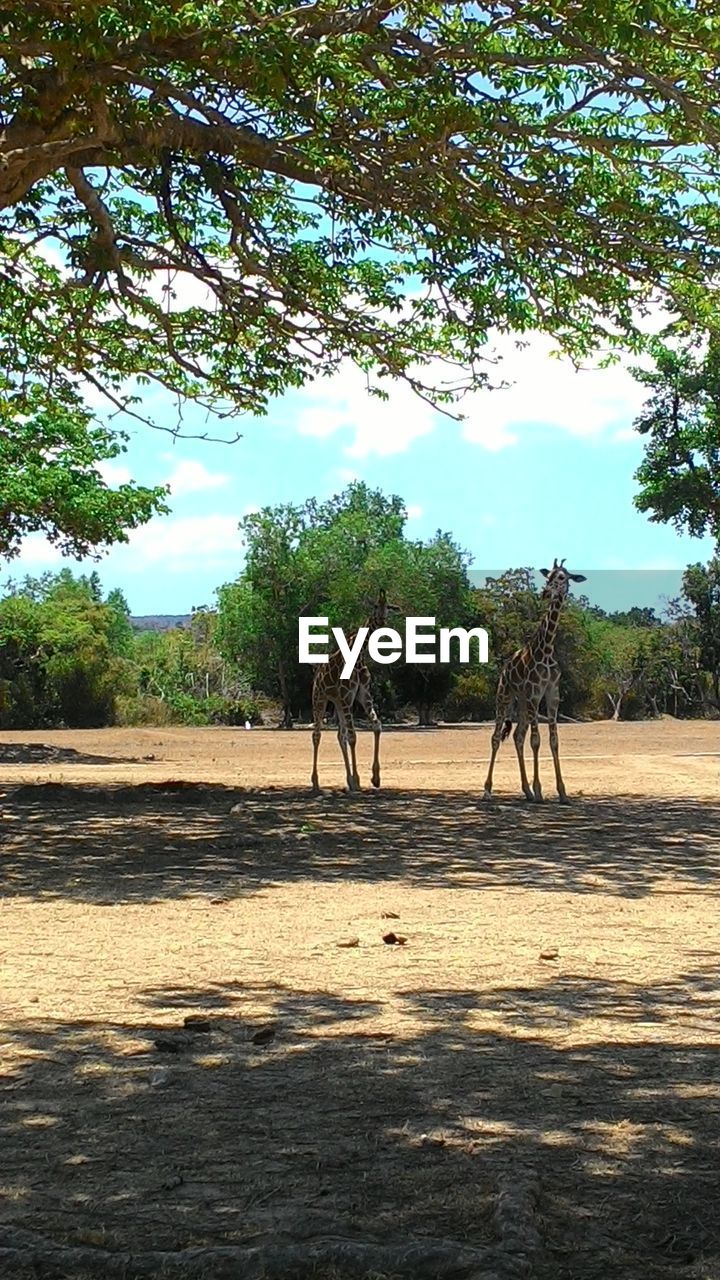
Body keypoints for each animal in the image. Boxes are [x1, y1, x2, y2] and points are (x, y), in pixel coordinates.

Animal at [307, 593, 392, 793]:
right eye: (375, 605)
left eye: (388, 606)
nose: (382, 619)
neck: (359, 657)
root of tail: (316, 672)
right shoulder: (347, 697)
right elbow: (353, 737)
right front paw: (359, 780)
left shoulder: (362, 694)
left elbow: (377, 726)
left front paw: (374, 778)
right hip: (320, 698)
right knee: (316, 735)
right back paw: (315, 782)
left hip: (338, 702)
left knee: (340, 736)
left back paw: (349, 780)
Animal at [479, 558, 586, 798]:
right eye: (548, 576)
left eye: (562, 577)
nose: (546, 593)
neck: (546, 649)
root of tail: (504, 668)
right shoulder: (535, 693)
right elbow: (536, 741)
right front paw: (539, 790)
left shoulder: (552, 693)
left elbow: (554, 741)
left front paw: (562, 792)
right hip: (505, 696)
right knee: (496, 738)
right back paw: (488, 789)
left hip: (521, 702)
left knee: (518, 736)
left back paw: (526, 790)